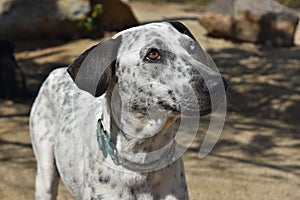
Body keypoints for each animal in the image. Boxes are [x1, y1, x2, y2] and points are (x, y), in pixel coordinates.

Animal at [29, 22, 227, 200]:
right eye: (152, 54)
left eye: (192, 48)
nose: (218, 84)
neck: (142, 162)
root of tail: (57, 71)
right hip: (45, 175)